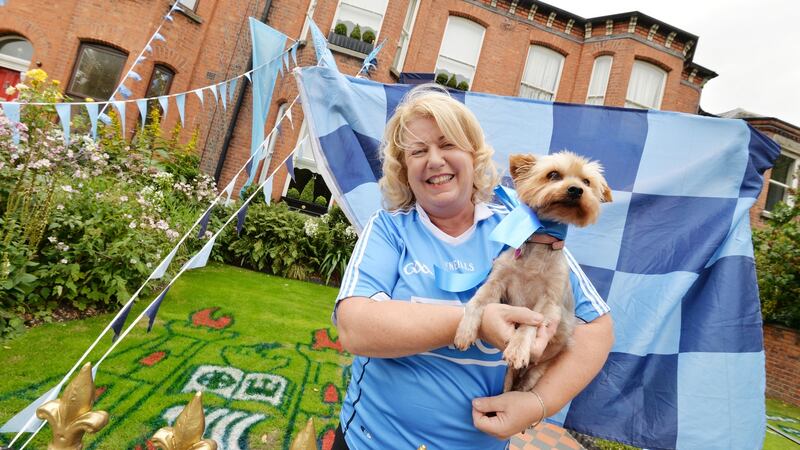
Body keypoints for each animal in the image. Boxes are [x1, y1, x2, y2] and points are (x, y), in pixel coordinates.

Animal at [456, 150, 612, 390]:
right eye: (553, 174)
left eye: (587, 182)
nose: (576, 190)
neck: (541, 242)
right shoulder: (497, 281)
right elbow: (477, 300)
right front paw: (465, 330)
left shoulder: (548, 302)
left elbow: (529, 324)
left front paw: (519, 348)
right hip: (508, 377)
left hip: (536, 372)